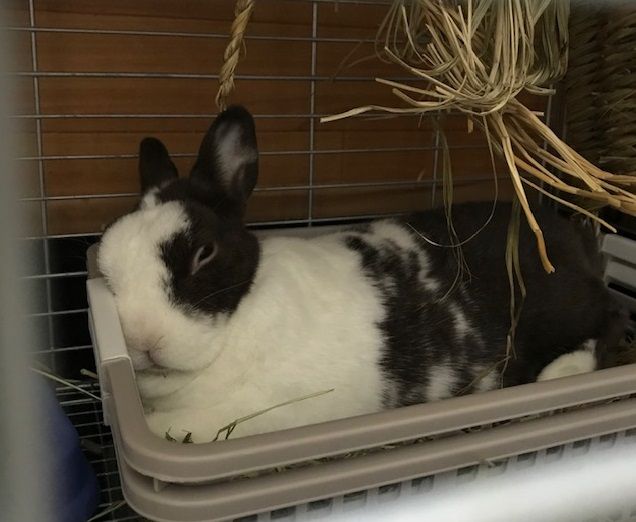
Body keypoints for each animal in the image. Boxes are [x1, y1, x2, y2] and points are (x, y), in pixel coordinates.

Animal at [97, 105, 627, 442]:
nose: (142, 340)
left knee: (610, 322)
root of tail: (574, 239)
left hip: (565, 310)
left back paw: (560, 373)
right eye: (105, 256)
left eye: (204, 253)